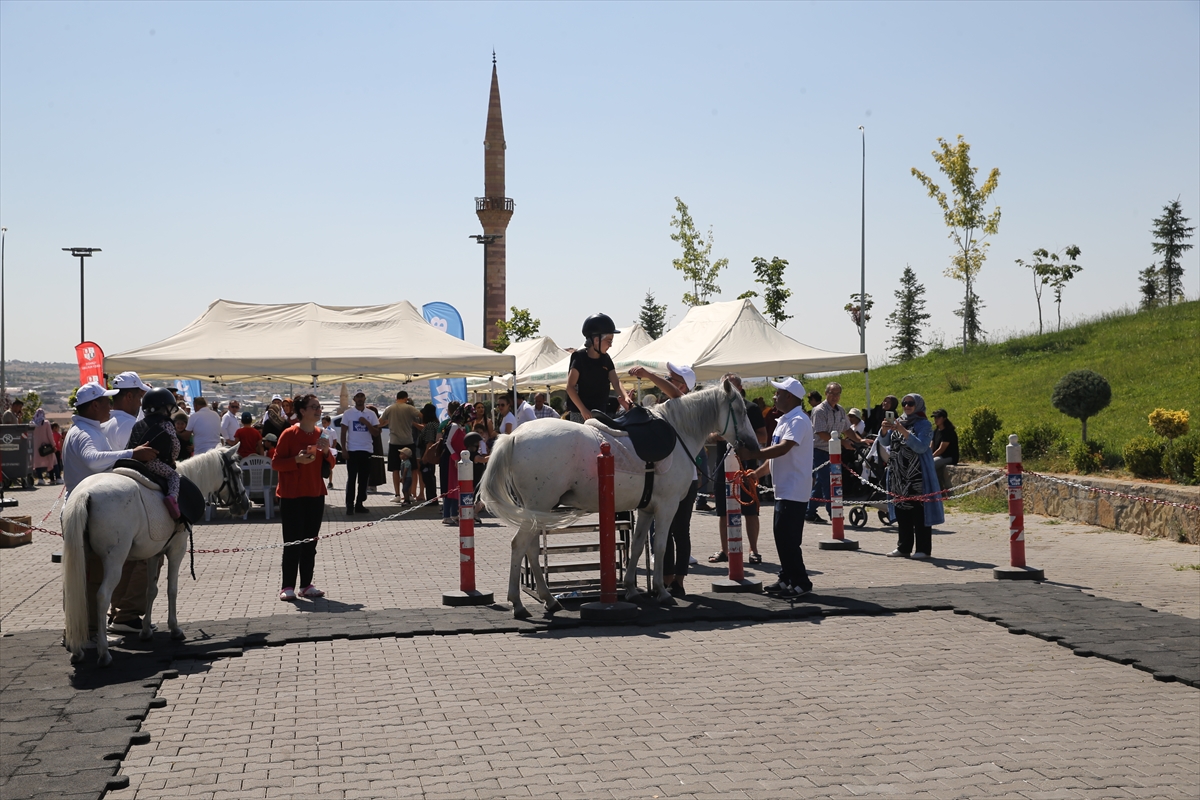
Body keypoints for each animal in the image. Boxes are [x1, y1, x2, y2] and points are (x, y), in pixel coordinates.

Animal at [62, 448, 249, 666]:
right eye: (238, 472)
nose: (245, 504)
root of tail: (85, 493)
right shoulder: (177, 550)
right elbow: (171, 590)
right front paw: (175, 629)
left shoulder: (153, 553)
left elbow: (150, 590)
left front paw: (145, 631)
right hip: (114, 561)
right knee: (102, 597)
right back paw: (103, 652)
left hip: (80, 559)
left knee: (75, 596)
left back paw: (77, 649)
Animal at [477, 381, 758, 618]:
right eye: (741, 411)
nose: (753, 446)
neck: (679, 434)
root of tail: (514, 436)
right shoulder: (666, 508)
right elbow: (660, 548)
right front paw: (662, 592)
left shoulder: (646, 509)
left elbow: (637, 546)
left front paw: (632, 589)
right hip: (539, 507)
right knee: (519, 546)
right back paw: (518, 603)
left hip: (536, 511)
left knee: (531, 549)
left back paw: (549, 599)